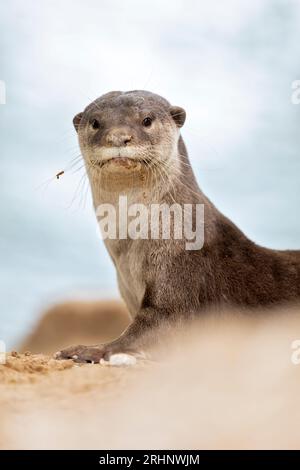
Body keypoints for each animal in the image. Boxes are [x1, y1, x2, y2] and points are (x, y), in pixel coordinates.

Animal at [54, 91, 300, 364]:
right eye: (96, 122)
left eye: (147, 120)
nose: (118, 137)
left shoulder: (180, 263)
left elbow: (160, 320)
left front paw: (88, 349)